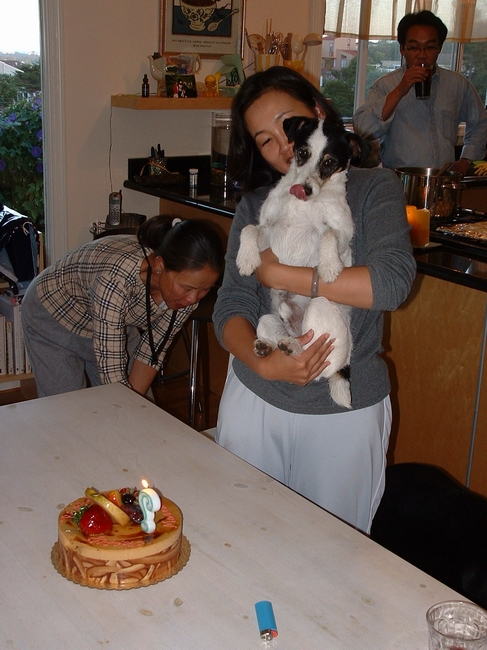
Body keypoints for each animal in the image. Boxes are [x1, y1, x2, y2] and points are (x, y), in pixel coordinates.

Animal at [236, 116, 362, 409]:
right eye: (303, 152)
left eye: (329, 162)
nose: (303, 189)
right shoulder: (268, 232)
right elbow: (248, 229)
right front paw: (246, 258)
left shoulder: (343, 233)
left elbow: (327, 234)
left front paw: (329, 266)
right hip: (268, 319)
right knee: (289, 341)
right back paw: (273, 345)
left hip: (319, 308)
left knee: (310, 349)